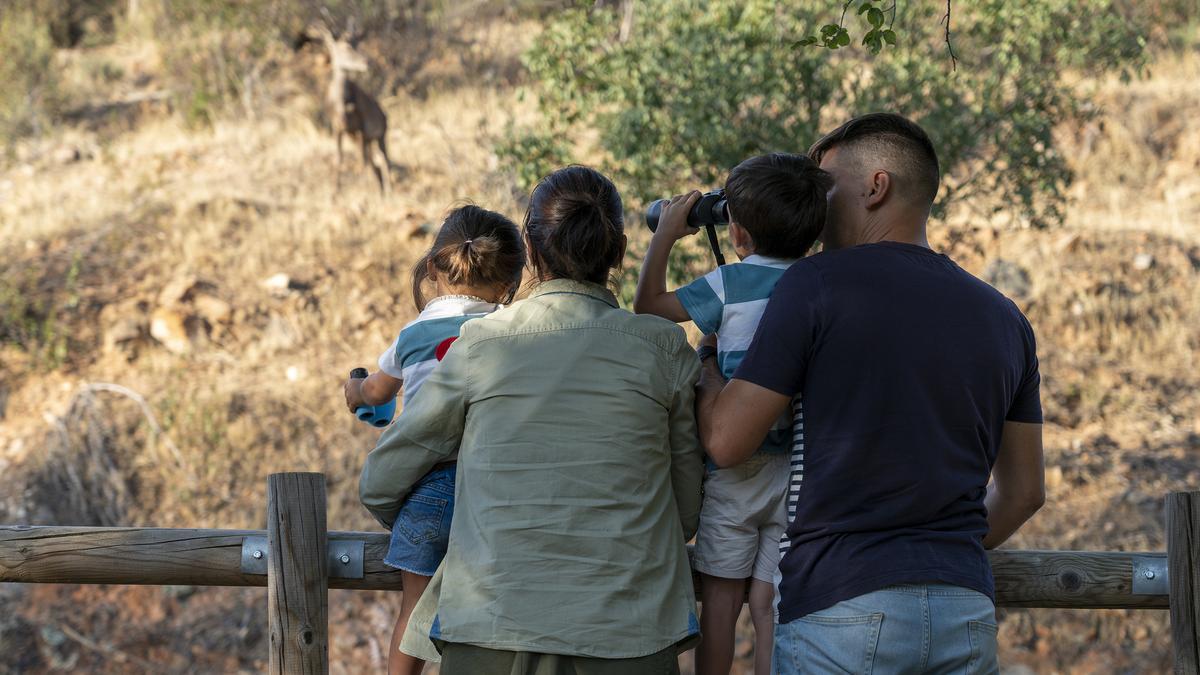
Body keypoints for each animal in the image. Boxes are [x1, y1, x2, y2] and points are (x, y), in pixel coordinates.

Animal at [307, 17, 391, 194]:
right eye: (346, 47)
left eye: (356, 44)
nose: (366, 61)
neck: (341, 106)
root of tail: (384, 115)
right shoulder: (338, 128)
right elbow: (338, 159)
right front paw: (334, 193)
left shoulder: (362, 128)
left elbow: (361, 162)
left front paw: (366, 191)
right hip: (363, 139)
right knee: (374, 162)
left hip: (380, 135)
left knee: (383, 160)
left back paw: (387, 191)